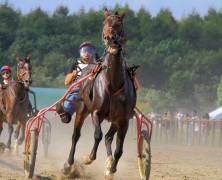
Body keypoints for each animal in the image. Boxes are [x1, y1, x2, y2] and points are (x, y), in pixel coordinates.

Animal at [62, 8, 137, 177]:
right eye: (104, 22)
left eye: (119, 23)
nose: (110, 38)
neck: (114, 83)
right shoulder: (96, 112)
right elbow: (97, 135)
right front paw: (88, 157)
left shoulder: (124, 119)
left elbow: (119, 150)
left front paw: (111, 170)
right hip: (81, 109)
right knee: (76, 135)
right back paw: (68, 165)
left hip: (115, 120)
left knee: (109, 137)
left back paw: (109, 162)